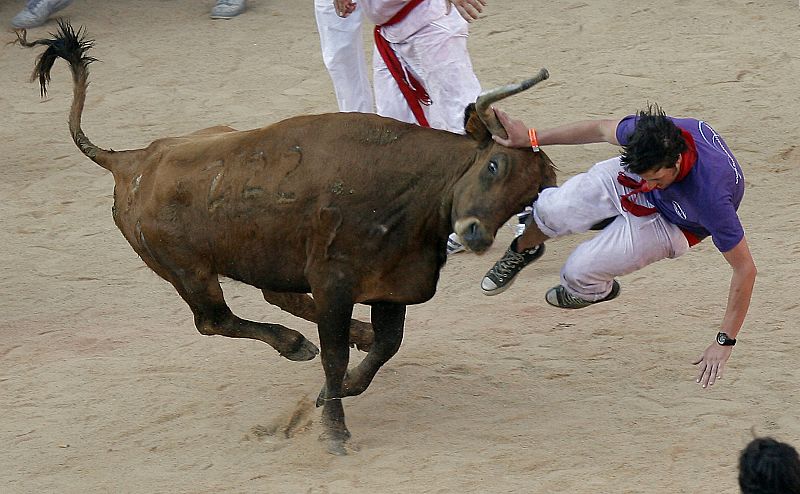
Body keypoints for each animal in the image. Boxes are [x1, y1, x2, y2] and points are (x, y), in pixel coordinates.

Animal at [18, 23, 556, 456]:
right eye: (493, 164)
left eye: (528, 196)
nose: (475, 234)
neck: (410, 186)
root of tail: (130, 161)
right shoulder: (335, 281)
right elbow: (337, 357)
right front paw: (334, 429)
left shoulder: (390, 284)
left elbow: (386, 346)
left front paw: (339, 388)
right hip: (188, 272)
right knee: (215, 320)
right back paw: (294, 344)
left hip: (259, 257)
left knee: (274, 297)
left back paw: (331, 336)